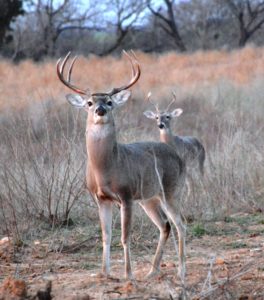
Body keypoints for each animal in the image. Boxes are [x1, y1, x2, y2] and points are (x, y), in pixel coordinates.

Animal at [56, 52, 187, 282]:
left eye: (109, 101)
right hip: (149, 198)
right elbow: (106, 236)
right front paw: (104, 272)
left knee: (181, 225)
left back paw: (180, 271)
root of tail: (177, 157)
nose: (100, 110)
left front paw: (128, 274)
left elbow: (125, 237)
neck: (105, 169)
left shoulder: (125, 195)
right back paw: (153, 271)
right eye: (89, 102)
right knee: (165, 225)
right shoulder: (100, 198)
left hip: (170, 189)